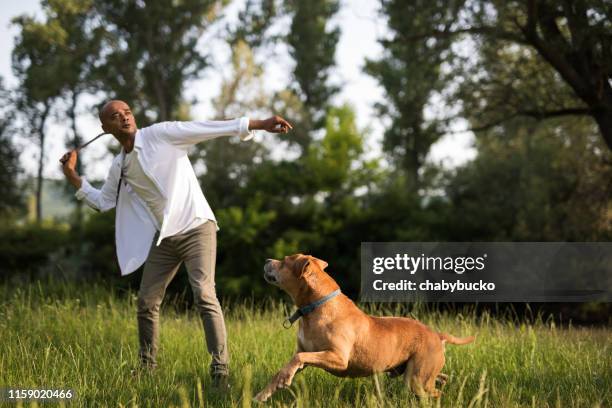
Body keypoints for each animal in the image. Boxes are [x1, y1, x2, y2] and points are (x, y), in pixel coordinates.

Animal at [253, 253, 474, 404]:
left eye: (284, 261)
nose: (266, 260)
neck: (315, 306)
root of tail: (437, 334)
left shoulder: (337, 357)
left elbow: (297, 358)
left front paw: (285, 379)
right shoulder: (309, 353)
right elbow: (285, 367)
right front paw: (262, 395)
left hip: (417, 378)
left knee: (435, 391)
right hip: (417, 372)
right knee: (441, 379)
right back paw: (444, 382)